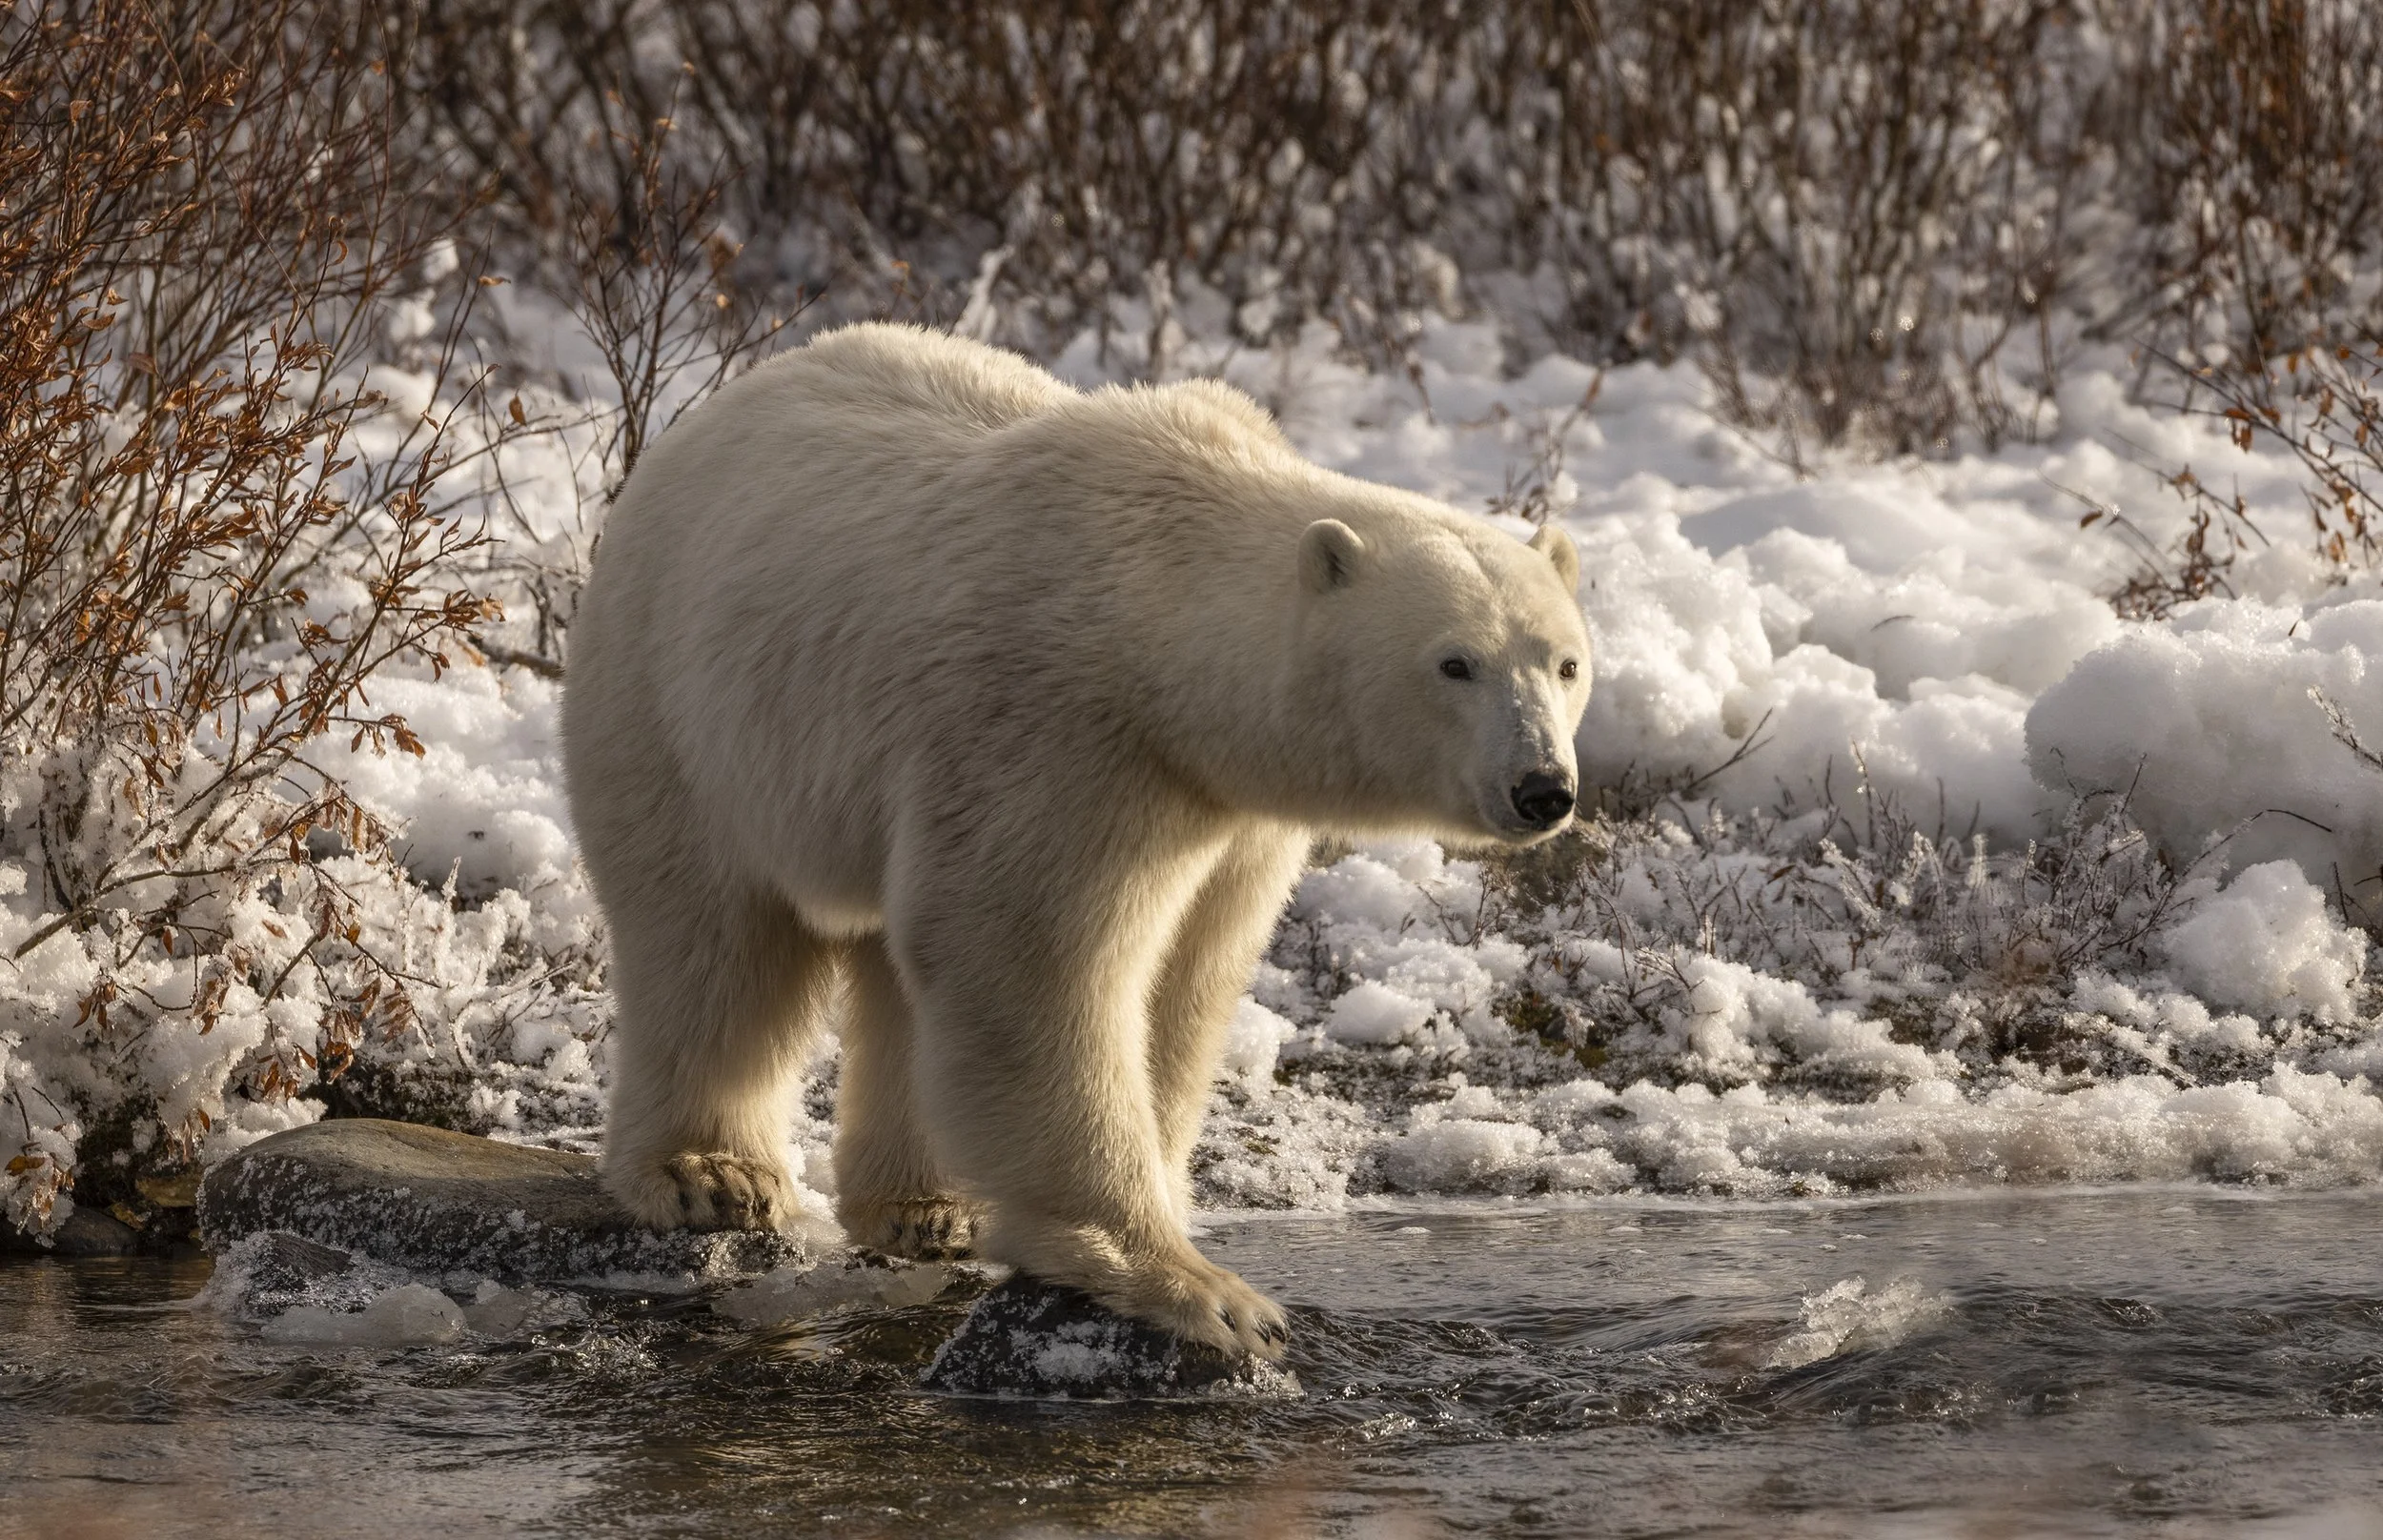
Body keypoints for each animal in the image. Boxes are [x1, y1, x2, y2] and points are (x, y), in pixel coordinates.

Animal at [561, 323, 1590, 1358]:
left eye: (1565, 662)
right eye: (1453, 662)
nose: (1543, 787)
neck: (1158, 625)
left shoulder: (1229, 810)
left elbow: (1187, 974)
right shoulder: (1057, 732)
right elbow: (1029, 956)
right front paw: (1200, 1290)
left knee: (887, 965)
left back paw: (928, 1206)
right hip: (679, 705)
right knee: (714, 941)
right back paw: (711, 1174)